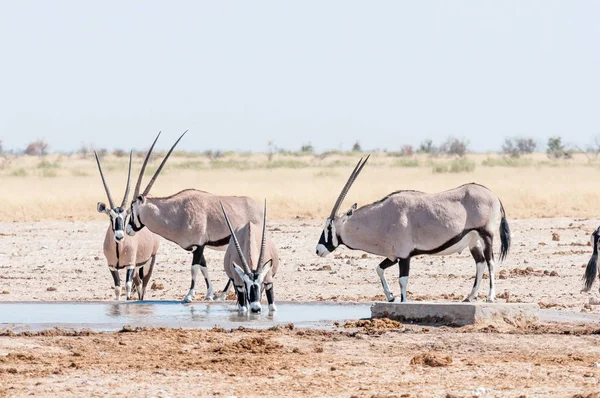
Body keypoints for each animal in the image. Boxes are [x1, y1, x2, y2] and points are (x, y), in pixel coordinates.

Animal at [94, 151, 161, 300]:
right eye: (110, 217)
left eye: (125, 217)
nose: (119, 236)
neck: (118, 248)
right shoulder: (112, 266)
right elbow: (118, 288)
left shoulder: (130, 266)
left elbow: (128, 287)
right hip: (137, 267)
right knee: (139, 284)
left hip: (149, 261)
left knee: (144, 285)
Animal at [125, 132, 264, 304]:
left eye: (132, 208)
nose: (128, 230)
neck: (176, 212)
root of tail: (259, 208)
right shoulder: (197, 247)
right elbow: (204, 268)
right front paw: (209, 294)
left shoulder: (198, 245)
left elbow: (194, 269)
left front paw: (189, 296)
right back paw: (222, 295)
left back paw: (224, 295)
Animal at [314, 155, 510, 302]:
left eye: (329, 227)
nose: (318, 250)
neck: (381, 218)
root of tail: (494, 196)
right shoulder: (394, 255)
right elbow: (379, 269)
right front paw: (390, 297)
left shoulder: (404, 255)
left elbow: (403, 280)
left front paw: (402, 301)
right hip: (472, 241)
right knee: (480, 263)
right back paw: (469, 297)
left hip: (486, 235)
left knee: (490, 262)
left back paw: (490, 297)